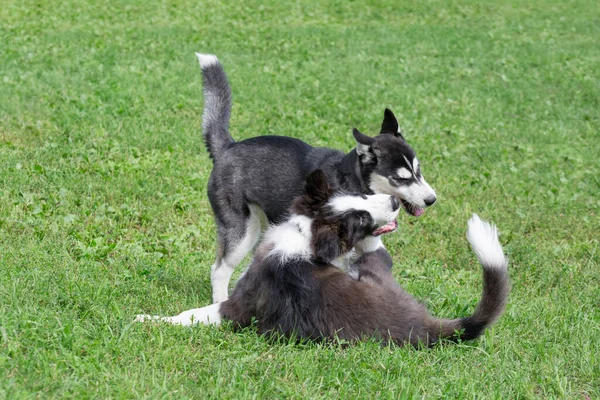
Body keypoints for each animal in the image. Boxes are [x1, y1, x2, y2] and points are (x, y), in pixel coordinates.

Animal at [137, 170, 510, 348]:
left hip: (371, 272)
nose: (392, 203)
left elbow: (190, 315)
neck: (306, 233)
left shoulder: (238, 307)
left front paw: (147, 319)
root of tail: (427, 327)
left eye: (362, 200)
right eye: (360, 211)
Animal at [197, 54, 436, 304]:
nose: (432, 199)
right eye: (400, 179)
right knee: (220, 269)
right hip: (242, 232)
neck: (352, 179)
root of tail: (228, 147)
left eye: (419, 171)